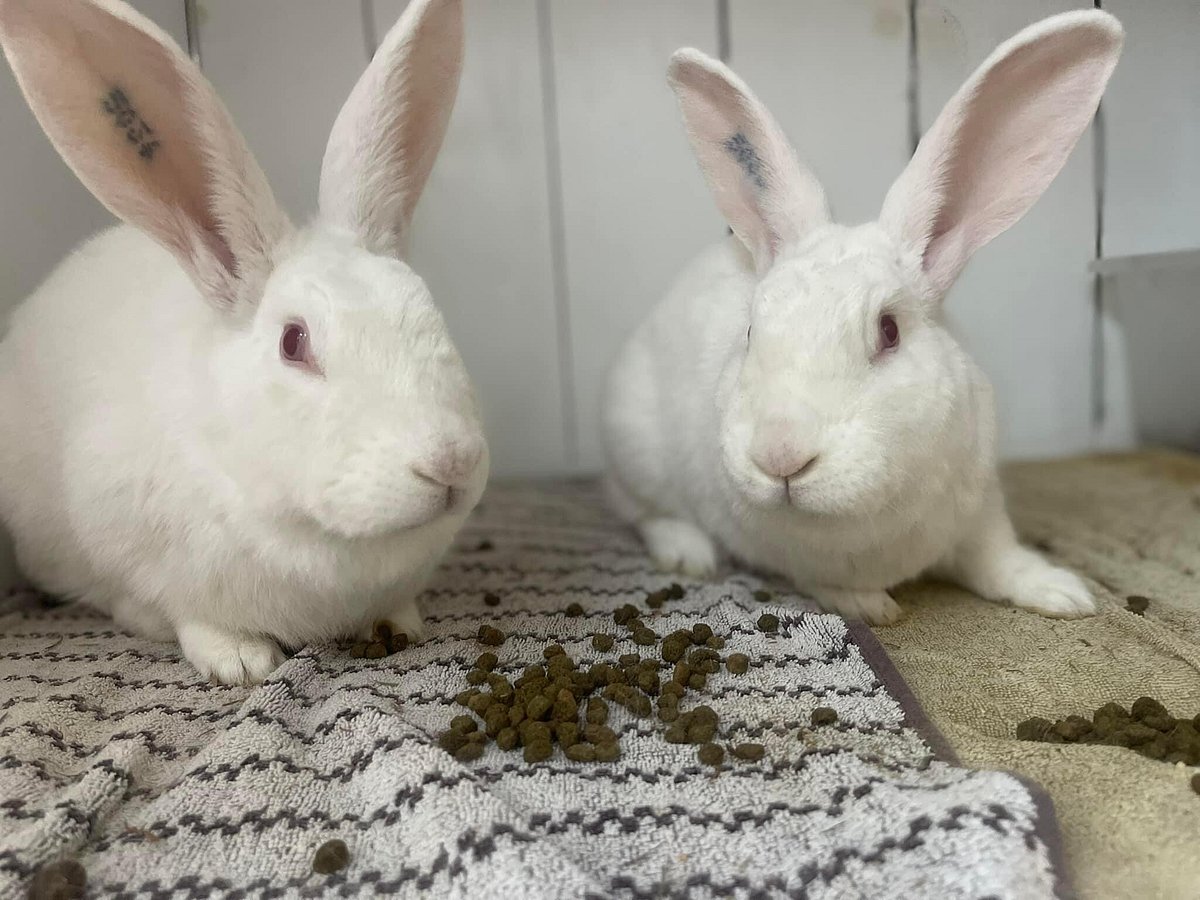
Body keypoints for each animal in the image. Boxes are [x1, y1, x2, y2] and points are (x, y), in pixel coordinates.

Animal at [0, 0, 488, 683]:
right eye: (293, 342)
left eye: (426, 309)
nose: (451, 463)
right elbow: (187, 617)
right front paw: (242, 663)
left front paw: (399, 627)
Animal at [602, 10, 1123, 625]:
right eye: (750, 331)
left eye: (889, 330)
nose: (781, 455)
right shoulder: (788, 557)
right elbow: (825, 583)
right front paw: (875, 607)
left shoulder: (979, 511)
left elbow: (998, 557)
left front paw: (1063, 594)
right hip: (633, 444)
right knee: (640, 511)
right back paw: (689, 553)